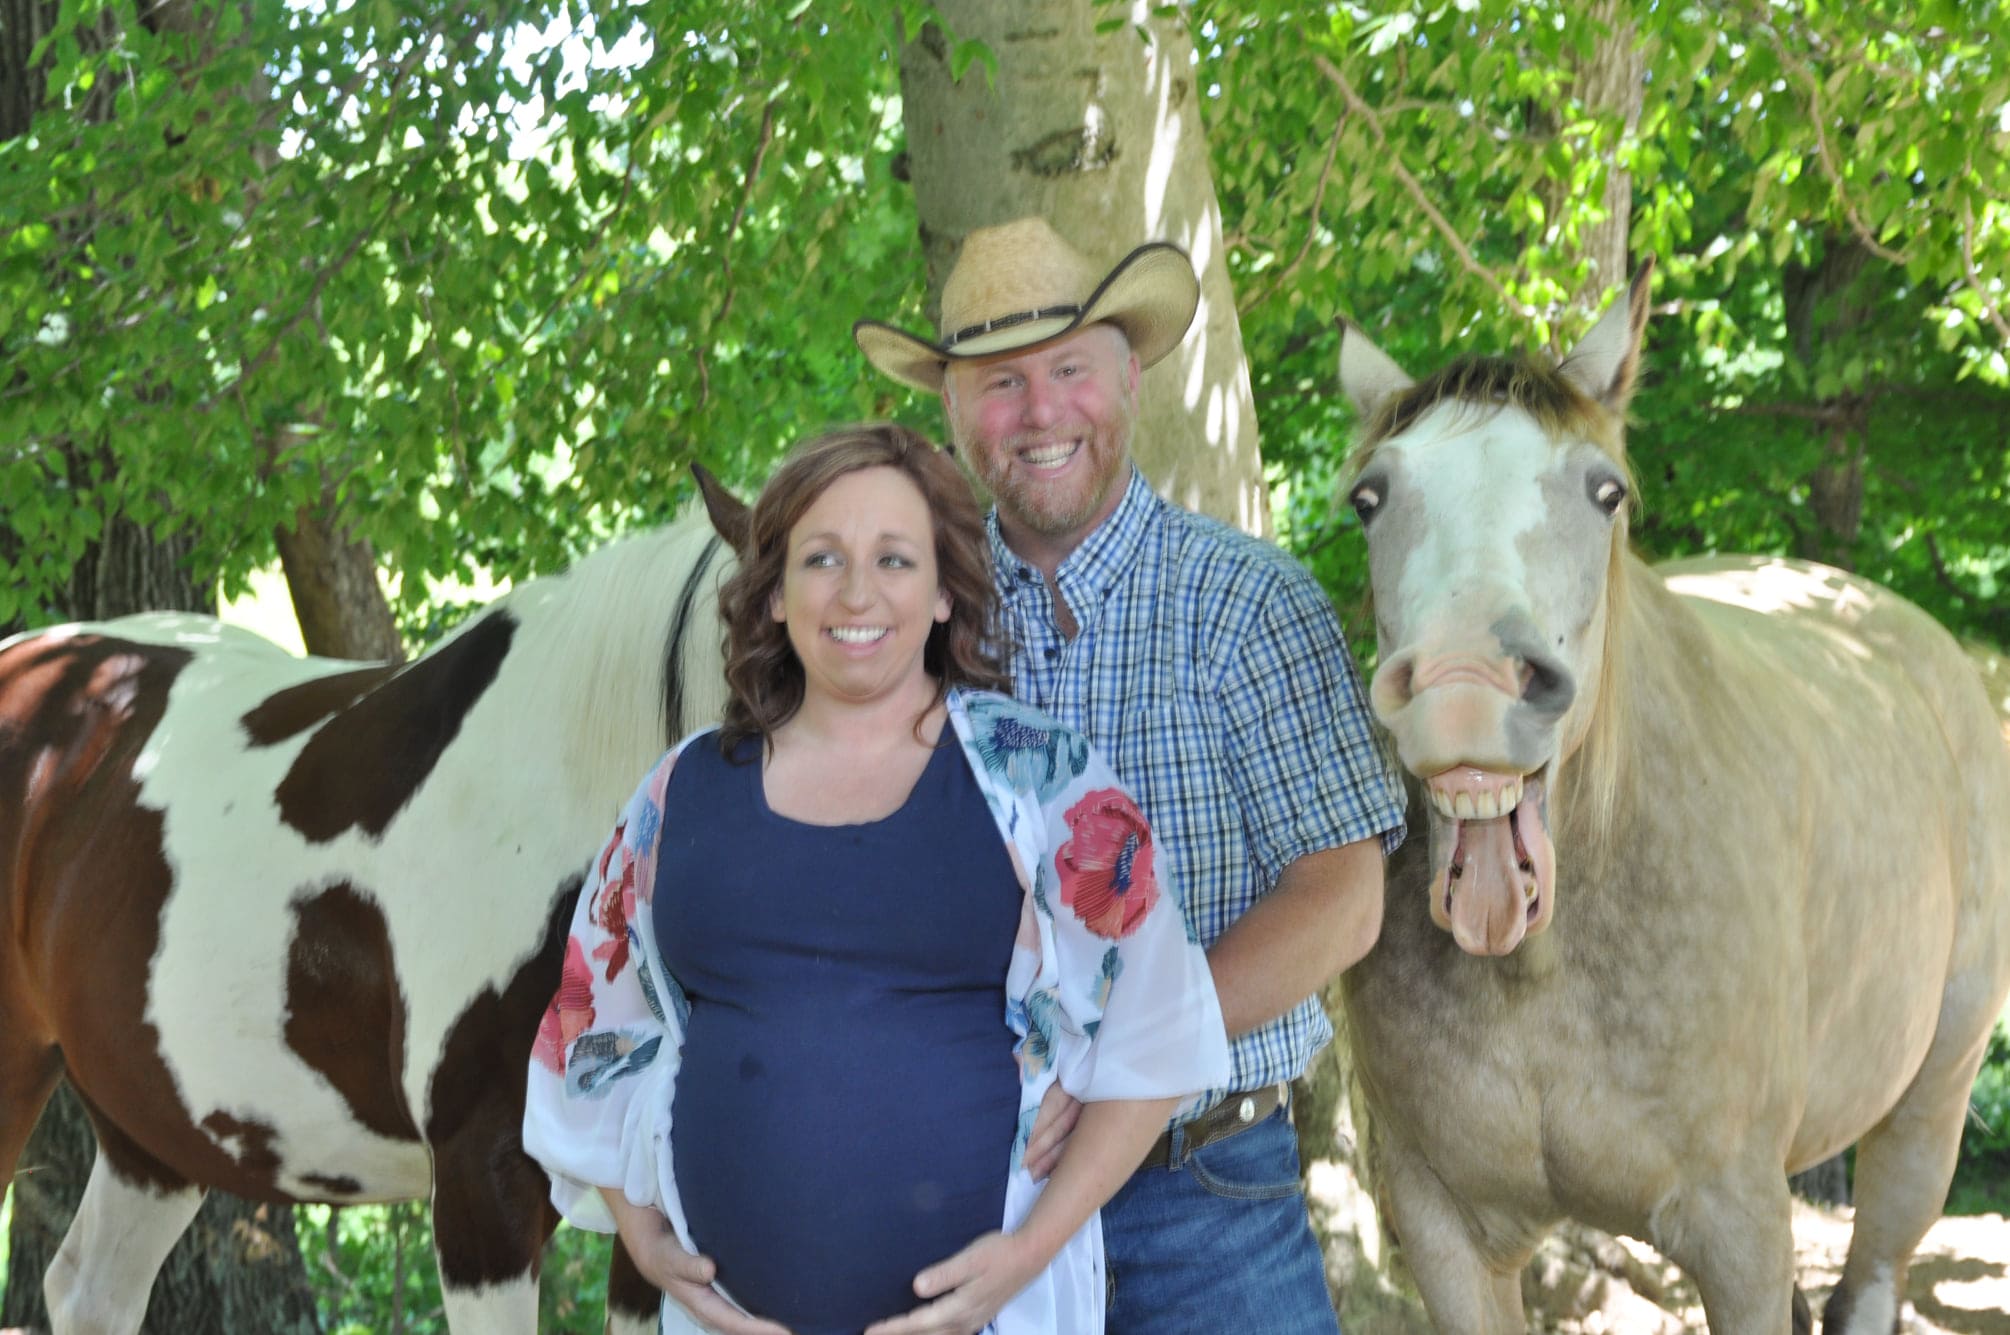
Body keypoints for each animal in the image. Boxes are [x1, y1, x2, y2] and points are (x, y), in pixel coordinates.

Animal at [1334, 263, 2010, 1335]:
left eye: (1604, 491)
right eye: (1371, 497)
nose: (1463, 685)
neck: (1541, 971)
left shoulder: (1740, 1231)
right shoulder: (1443, 1230)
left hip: (1924, 1113)